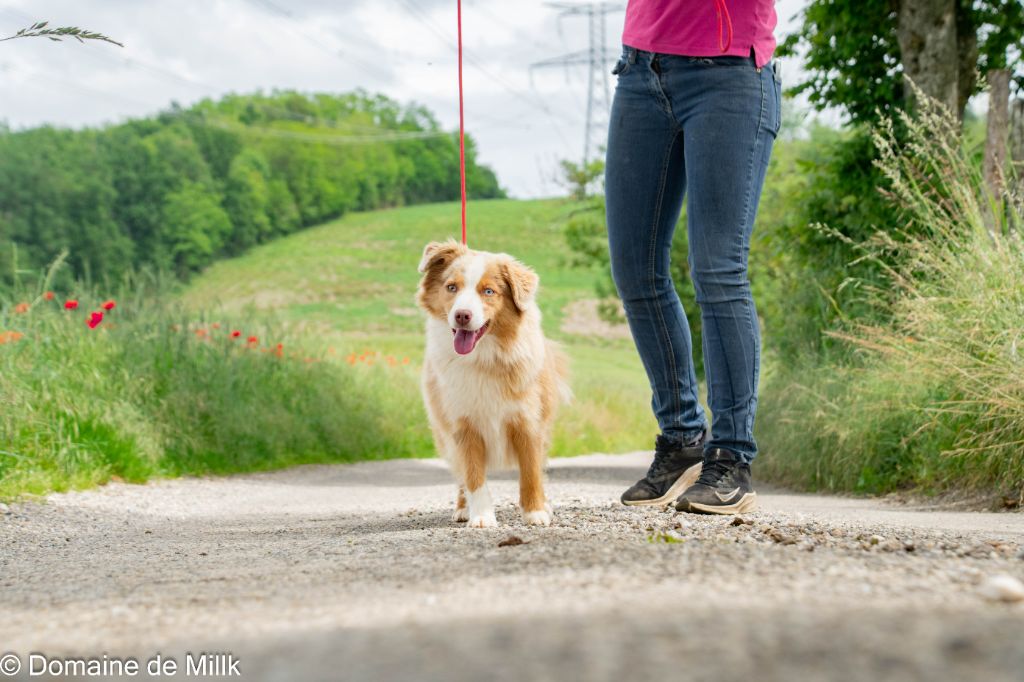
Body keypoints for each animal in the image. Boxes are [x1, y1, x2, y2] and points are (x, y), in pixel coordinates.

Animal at [419, 238, 573, 524]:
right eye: (451, 287)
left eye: (488, 291)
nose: (462, 315)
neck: (485, 357)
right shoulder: (463, 425)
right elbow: (473, 476)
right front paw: (481, 517)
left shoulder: (528, 422)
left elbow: (531, 473)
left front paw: (535, 512)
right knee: (460, 475)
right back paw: (462, 508)